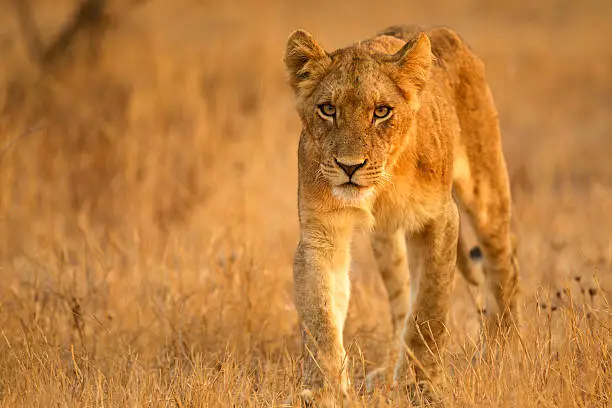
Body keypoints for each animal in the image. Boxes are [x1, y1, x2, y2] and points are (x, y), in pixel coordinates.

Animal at [284, 25, 520, 404]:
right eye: (328, 109)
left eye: (381, 111)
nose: (349, 167)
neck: (383, 183)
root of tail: (441, 30)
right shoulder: (321, 232)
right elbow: (320, 316)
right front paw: (324, 392)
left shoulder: (440, 219)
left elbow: (429, 310)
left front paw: (422, 387)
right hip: (386, 240)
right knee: (400, 301)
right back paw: (389, 372)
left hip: (486, 190)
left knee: (504, 265)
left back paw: (504, 354)